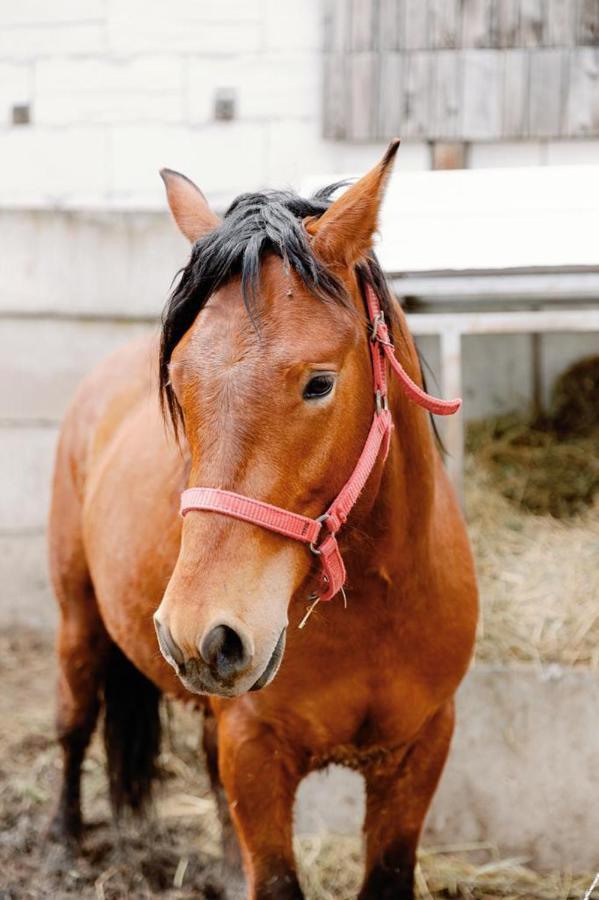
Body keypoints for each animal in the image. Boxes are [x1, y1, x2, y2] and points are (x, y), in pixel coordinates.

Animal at [48, 142, 478, 900]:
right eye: (178, 384)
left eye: (319, 383)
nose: (200, 631)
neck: (376, 609)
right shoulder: (254, 752)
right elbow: (274, 878)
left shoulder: (420, 751)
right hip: (79, 614)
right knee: (74, 721)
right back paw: (65, 845)